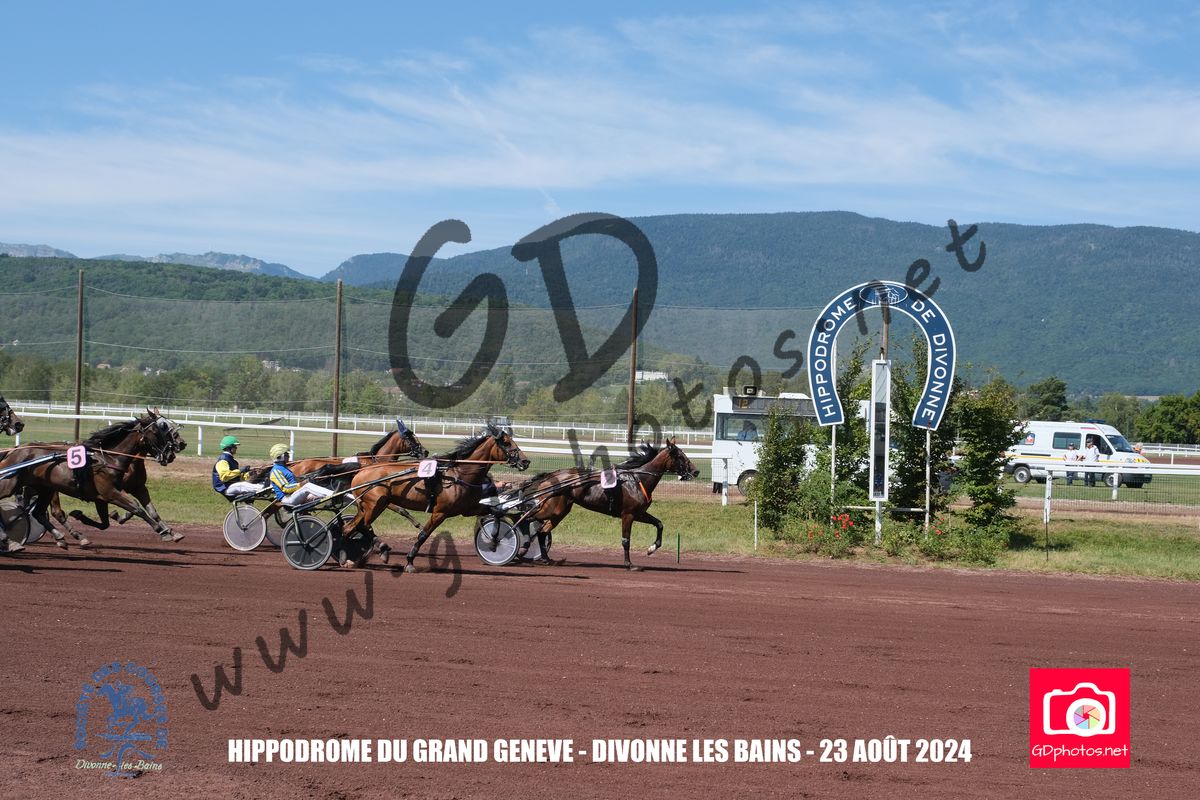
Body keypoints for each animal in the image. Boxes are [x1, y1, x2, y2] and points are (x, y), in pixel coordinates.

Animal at [0, 410, 183, 546]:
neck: (108, 458)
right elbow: (137, 508)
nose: (170, 453)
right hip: (11, 484)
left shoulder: (102, 497)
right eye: (158, 431)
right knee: (47, 511)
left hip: (45, 489)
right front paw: (162, 531)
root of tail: (13, 451)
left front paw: (80, 515)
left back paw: (64, 537)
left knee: (38, 512)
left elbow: (106, 523)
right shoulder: (111, 493)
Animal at [344, 420, 530, 572]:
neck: (459, 475)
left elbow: (496, 513)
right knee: (362, 526)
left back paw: (351, 558)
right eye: (506, 443)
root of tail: (361, 471)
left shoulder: (468, 509)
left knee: (350, 527)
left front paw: (494, 540)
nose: (525, 461)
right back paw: (381, 549)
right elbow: (423, 535)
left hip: (369, 506)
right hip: (376, 504)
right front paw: (410, 562)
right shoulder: (440, 512)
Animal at [506, 439, 699, 570]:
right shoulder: (628, 515)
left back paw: (546, 558)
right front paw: (629, 564)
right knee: (526, 520)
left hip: (560, 511)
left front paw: (651, 549)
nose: (696, 471)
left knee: (542, 531)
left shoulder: (639, 514)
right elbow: (626, 540)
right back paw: (518, 544)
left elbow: (659, 524)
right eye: (680, 456)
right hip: (552, 508)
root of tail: (551, 476)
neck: (638, 480)